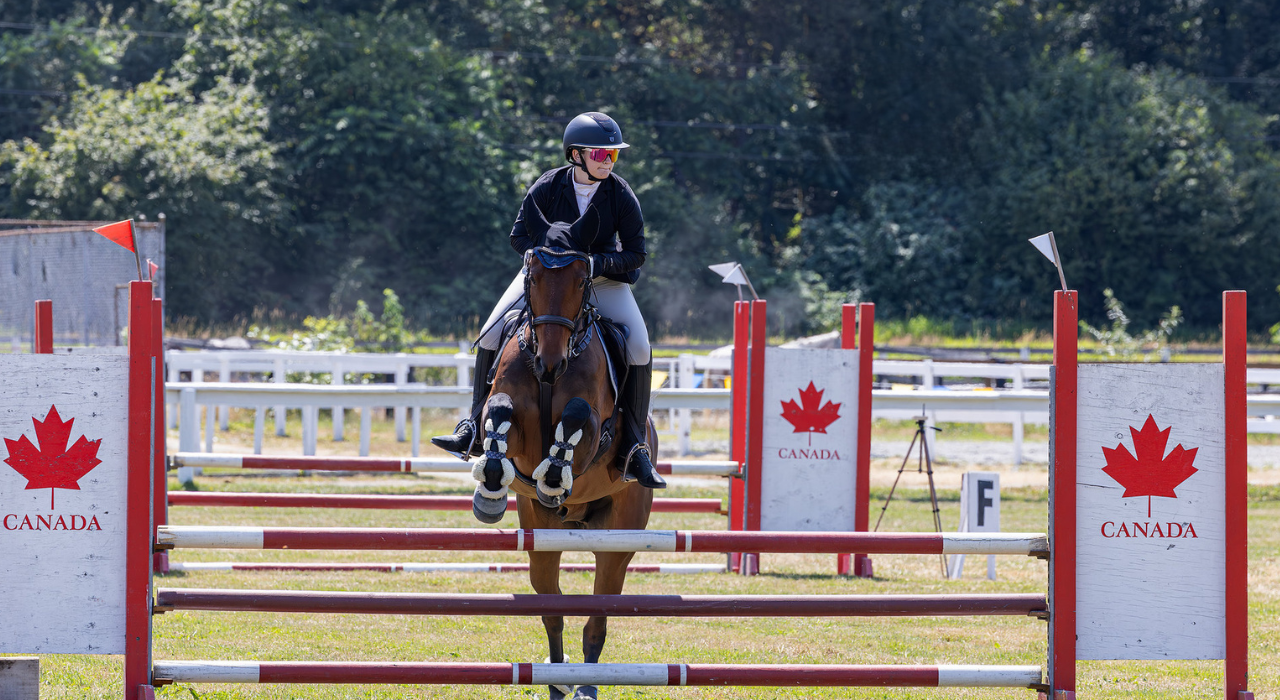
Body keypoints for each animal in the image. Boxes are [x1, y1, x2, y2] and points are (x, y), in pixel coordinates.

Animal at [468, 236, 655, 700]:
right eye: (532, 280)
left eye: (582, 281)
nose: (550, 364)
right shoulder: (516, 428)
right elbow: (499, 411)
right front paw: (491, 485)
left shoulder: (592, 438)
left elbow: (575, 417)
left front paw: (554, 476)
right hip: (542, 542)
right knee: (551, 609)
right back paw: (556, 681)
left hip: (619, 540)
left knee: (597, 617)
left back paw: (586, 685)